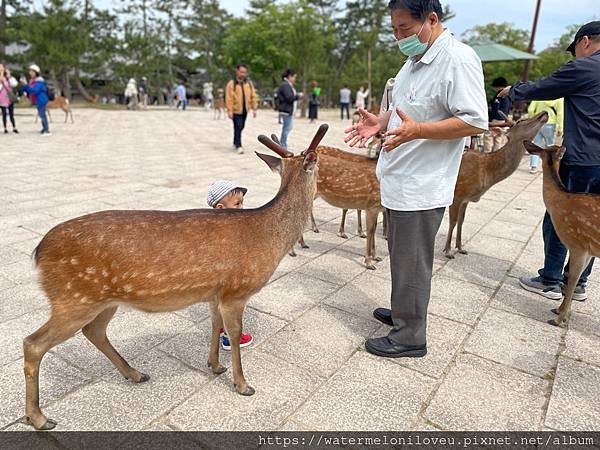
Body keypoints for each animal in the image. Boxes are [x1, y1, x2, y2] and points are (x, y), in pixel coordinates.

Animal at [22, 125, 328, 430]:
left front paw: (215, 365)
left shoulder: (216, 292)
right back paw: (39, 418)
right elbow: (233, 332)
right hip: (73, 297)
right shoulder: (237, 290)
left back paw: (135, 373)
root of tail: (39, 252)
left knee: (94, 331)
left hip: (102, 299)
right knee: (33, 343)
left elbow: (215, 325)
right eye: (320, 165)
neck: (268, 237)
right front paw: (243, 385)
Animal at [442, 110, 552, 258]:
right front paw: (447, 251)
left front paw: (460, 248)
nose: (544, 113)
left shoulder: (466, 199)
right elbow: (453, 221)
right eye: (520, 121)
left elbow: (461, 221)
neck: (486, 171)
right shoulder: (457, 194)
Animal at [524, 142, 596, 326]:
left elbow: (572, 279)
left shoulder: (577, 243)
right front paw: (561, 311)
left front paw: (559, 318)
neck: (561, 200)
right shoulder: (589, 250)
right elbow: (576, 278)